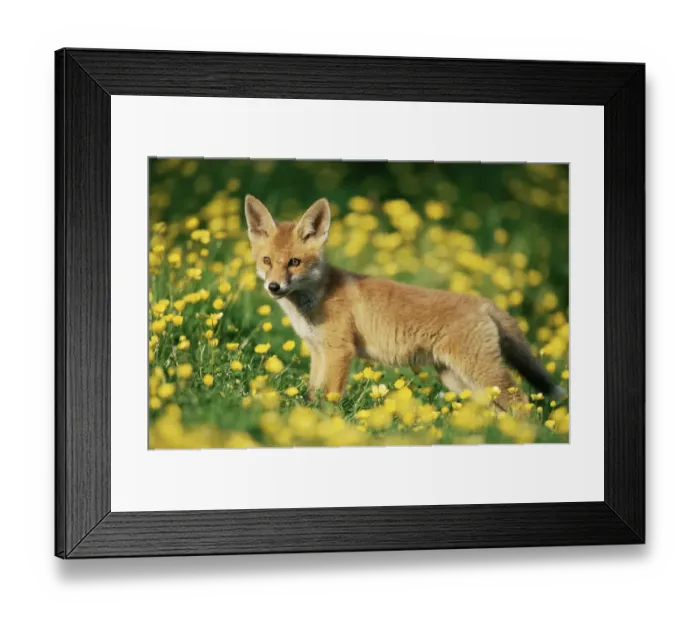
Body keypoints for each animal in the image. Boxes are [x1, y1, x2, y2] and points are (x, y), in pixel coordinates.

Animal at [244, 195, 566, 410]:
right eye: (267, 261)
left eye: (295, 262)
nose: (273, 286)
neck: (316, 298)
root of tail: (483, 302)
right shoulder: (318, 351)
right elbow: (313, 392)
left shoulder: (339, 351)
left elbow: (331, 396)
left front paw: (327, 421)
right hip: (458, 379)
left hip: (482, 374)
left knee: (522, 403)